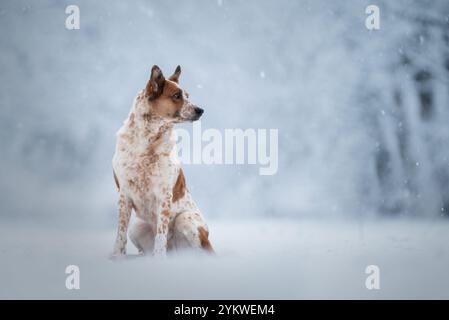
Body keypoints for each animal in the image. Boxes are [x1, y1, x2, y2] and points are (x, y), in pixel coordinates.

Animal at [110, 64, 212, 258]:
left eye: (188, 95)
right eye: (177, 96)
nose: (201, 110)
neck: (147, 140)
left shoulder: (164, 194)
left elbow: (161, 233)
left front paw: (159, 260)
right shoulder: (124, 194)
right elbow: (120, 233)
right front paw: (117, 257)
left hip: (185, 219)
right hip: (137, 226)